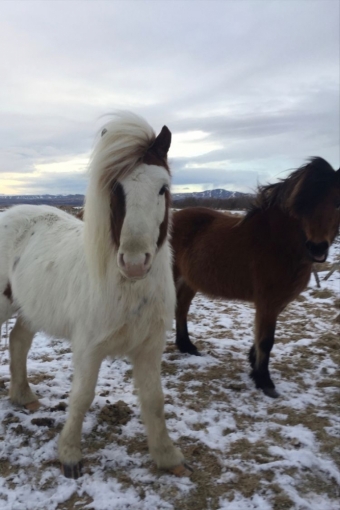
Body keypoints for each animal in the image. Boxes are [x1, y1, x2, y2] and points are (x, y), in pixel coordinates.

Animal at [0, 111, 189, 478]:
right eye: (116, 188)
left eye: (163, 188)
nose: (134, 262)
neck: (128, 289)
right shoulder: (88, 347)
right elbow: (82, 396)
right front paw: (70, 455)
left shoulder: (149, 348)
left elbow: (154, 400)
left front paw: (167, 456)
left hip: (32, 307)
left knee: (18, 341)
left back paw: (23, 396)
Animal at [173, 157, 340, 396]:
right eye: (301, 206)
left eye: (337, 203)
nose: (317, 248)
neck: (279, 243)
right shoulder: (268, 301)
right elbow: (267, 340)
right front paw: (264, 381)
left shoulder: (278, 301)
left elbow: (260, 336)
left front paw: (254, 365)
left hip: (189, 281)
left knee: (181, 309)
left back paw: (186, 346)